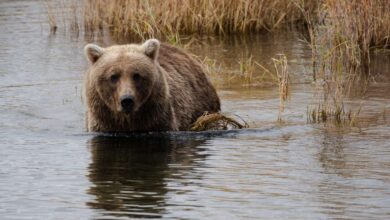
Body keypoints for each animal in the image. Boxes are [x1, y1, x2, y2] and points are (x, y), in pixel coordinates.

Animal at [84, 39, 221, 132]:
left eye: (136, 75)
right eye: (113, 76)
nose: (127, 100)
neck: (129, 120)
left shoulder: (158, 120)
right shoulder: (104, 123)